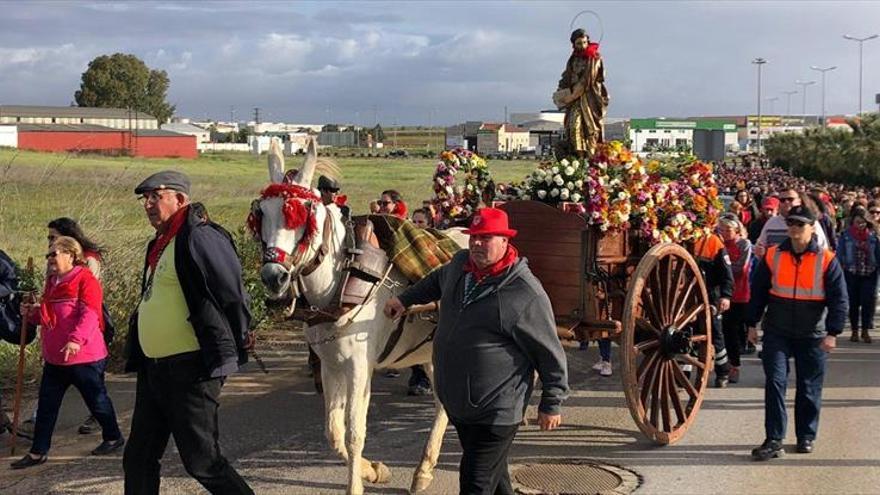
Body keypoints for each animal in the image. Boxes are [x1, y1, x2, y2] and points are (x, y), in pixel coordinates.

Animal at [251, 138, 464, 494]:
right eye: (261, 213)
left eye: (303, 214)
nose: (273, 276)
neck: (343, 276)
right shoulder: (331, 366)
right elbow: (334, 432)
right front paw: (374, 470)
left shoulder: (359, 367)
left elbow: (354, 433)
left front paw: (358, 481)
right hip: (433, 353)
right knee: (444, 404)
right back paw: (424, 468)